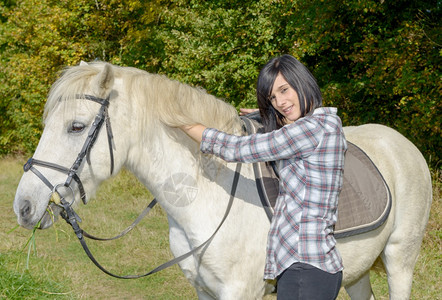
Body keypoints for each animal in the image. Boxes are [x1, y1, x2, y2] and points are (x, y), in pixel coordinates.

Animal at [12, 62, 432, 298]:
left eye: (76, 126)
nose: (24, 206)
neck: (207, 197)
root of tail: (405, 145)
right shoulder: (205, 290)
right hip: (356, 271)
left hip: (400, 260)